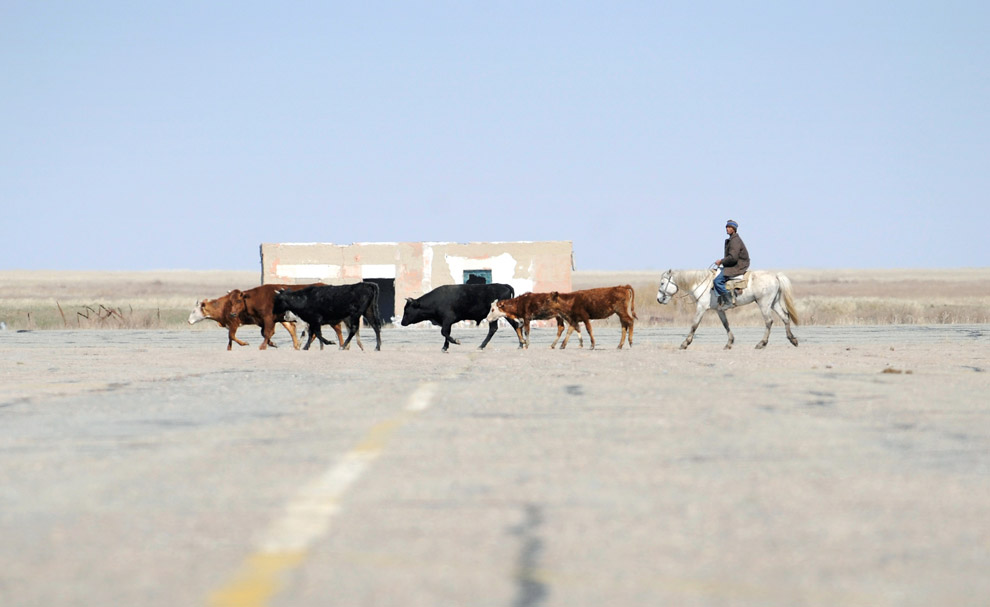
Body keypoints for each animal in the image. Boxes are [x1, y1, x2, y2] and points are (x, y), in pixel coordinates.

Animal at [190, 284, 348, 352]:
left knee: (336, 329)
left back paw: (342, 345)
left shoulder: (264, 319)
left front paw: (261, 346)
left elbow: (264, 333)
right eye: (231, 301)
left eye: (239, 301)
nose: (189, 321)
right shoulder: (263, 321)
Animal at [656, 268, 804, 350]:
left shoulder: (701, 307)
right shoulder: (719, 310)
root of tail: (775, 276)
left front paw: (685, 344)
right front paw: (729, 344)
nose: (658, 299)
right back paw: (793, 340)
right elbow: (726, 325)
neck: (701, 283)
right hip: (774, 302)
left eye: (662, 283)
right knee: (785, 317)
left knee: (769, 321)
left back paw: (761, 344)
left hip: (764, 304)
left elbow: (694, 325)